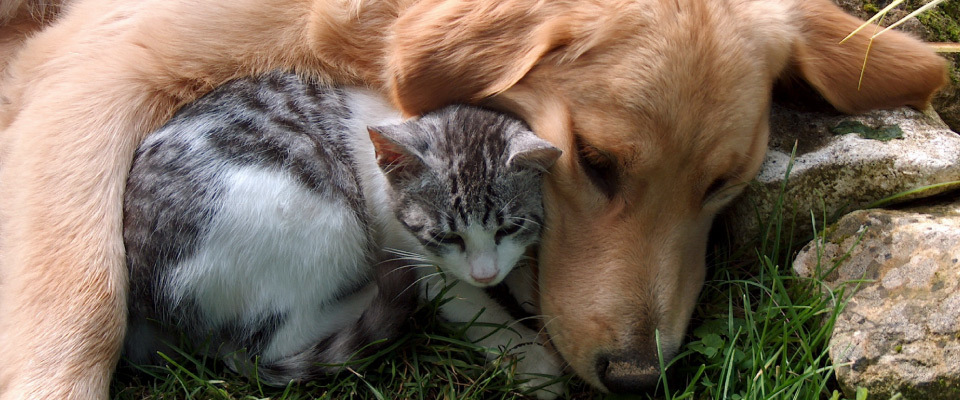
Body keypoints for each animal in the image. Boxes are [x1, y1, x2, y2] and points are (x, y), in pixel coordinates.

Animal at [124, 70, 568, 392]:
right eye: (446, 237)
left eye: (510, 226)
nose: (486, 274)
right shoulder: (413, 250)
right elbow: (467, 302)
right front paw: (530, 357)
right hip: (323, 219)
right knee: (273, 340)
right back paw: (372, 291)